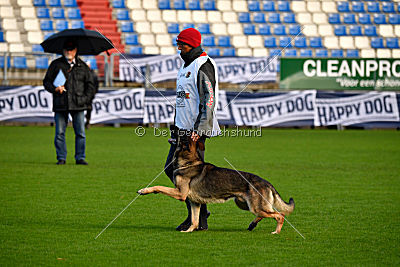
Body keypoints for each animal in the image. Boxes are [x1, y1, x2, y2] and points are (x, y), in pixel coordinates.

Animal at [138, 134, 294, 234]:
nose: (172, 125)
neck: (189, 162)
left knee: (279, 215)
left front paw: (144, 190)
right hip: (244, 204)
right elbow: (195, 221)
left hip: (254, 206)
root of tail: (267, 183)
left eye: (181, 132)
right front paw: (189, 231)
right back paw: (252, 224)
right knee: (267, 213)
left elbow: (159, 187)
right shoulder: (195, 202)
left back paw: (276, 231)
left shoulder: (180, 193)